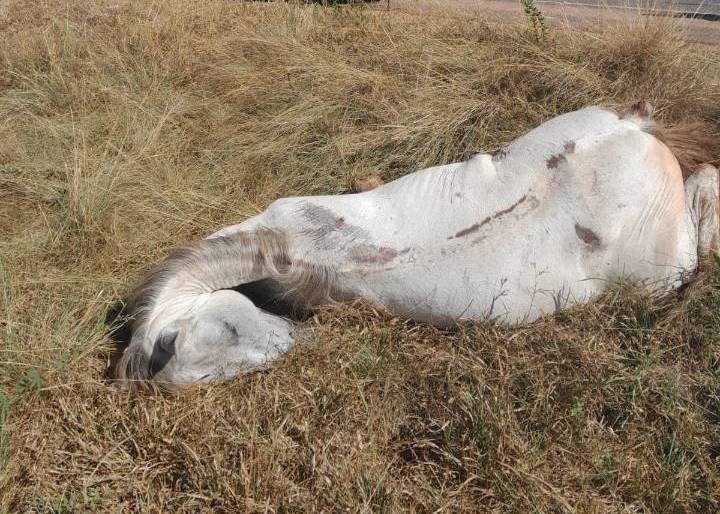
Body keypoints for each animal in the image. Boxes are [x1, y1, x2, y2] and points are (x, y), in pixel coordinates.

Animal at [115, 103, 716, 384]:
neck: (294, 247)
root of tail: (635, 134)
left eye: (229, 333)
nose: (300, 339)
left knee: (705, 201)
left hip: (663, 268)